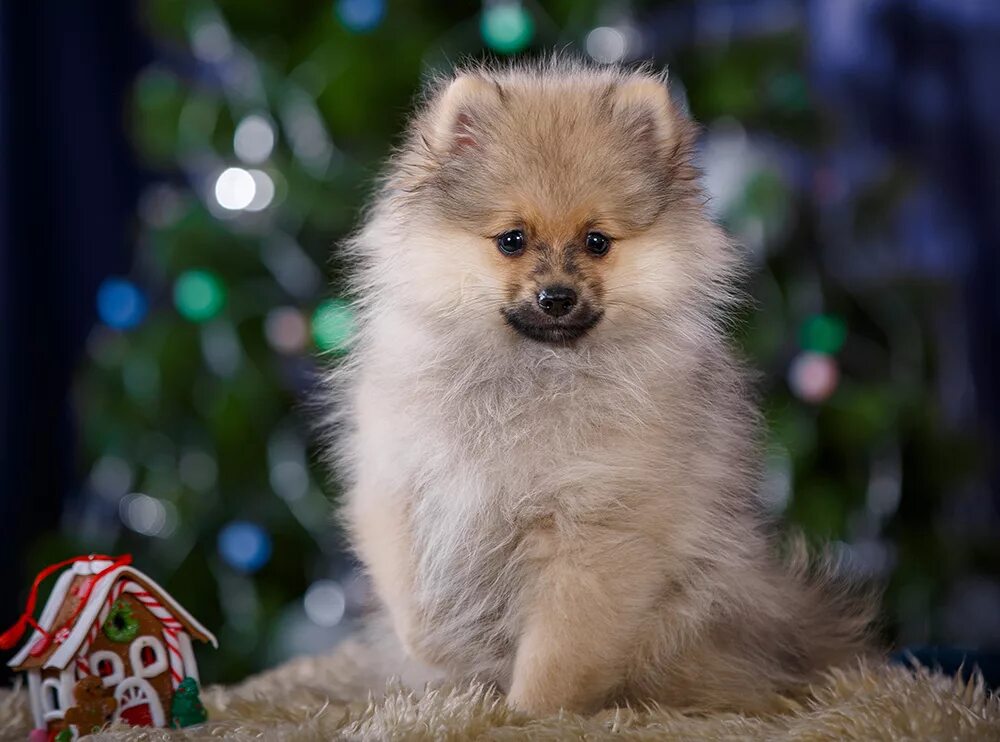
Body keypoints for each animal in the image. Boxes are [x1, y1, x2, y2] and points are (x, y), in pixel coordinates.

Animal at [330, 59, 876, 720]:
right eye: (512, 240)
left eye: (597, 242)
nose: (556, 297)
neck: (532, 376)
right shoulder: (398, 484)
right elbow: (415, 607)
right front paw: (450, 648)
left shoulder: (596, 531)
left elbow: (557, 656)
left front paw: (524, 716)